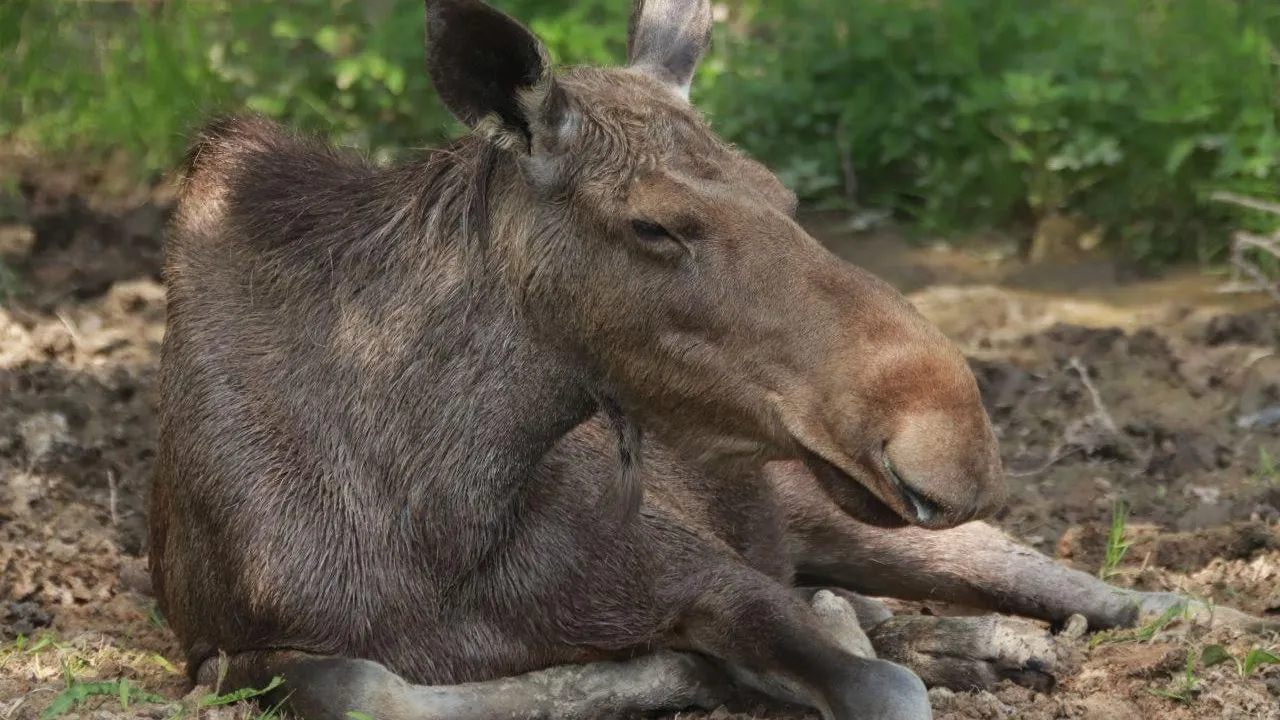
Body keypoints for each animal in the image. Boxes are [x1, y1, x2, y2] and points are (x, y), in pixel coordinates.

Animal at [147, 1, 1269, 717]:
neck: (444, 518)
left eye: (783, 193)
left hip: (859, 521)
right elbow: (371, 686)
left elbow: (874, 682)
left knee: (1124, 593)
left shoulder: (707, 573)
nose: (949, 435)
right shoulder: (224, 649)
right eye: (653, 225)